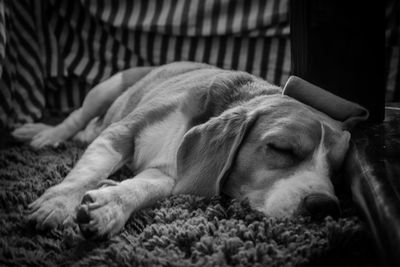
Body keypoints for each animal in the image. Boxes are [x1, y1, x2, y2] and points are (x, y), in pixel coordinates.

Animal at [13, 61, 368, 239]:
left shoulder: (173, 174)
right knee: (75, 118)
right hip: (104, 90)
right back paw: (47, 135)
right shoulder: (120, 133)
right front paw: (57, 204)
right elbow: (86, 173)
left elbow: (143, 186)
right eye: (280, 148)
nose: (324, 206)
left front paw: (111, 205)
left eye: (337, 172)